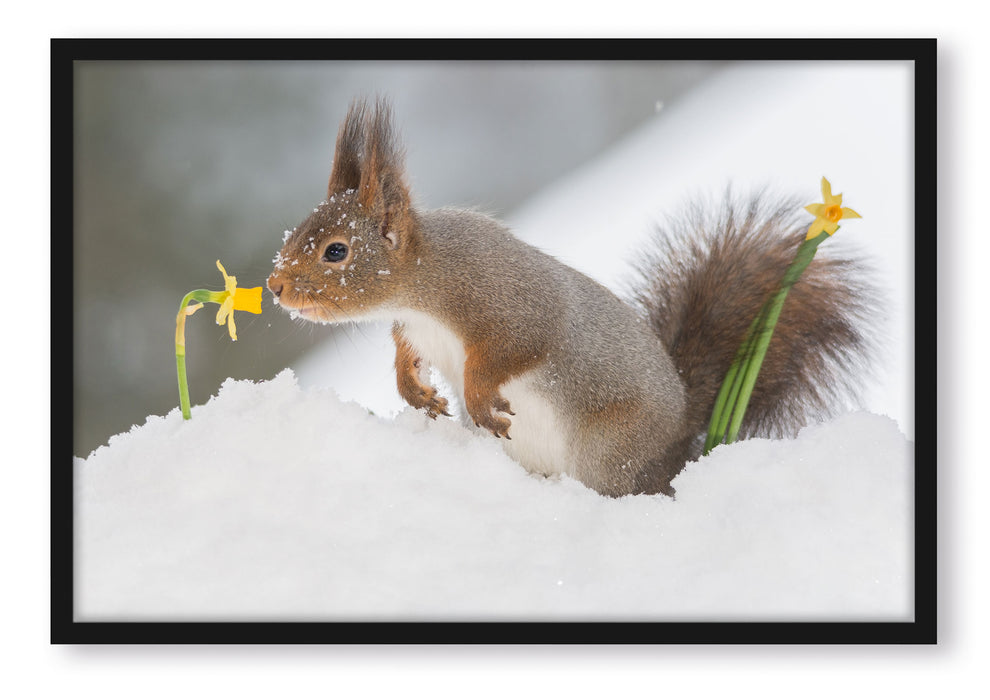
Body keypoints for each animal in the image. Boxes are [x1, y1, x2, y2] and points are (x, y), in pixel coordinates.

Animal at [268, 97, 880, 498]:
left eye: (337, 252)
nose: (275, 287)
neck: (423, 284)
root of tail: (681, 440)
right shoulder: (415, 329)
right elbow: (405, 355)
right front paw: (416, 392)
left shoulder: (510, 304)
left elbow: (514, 350)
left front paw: (479, 398)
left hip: (610, 452)